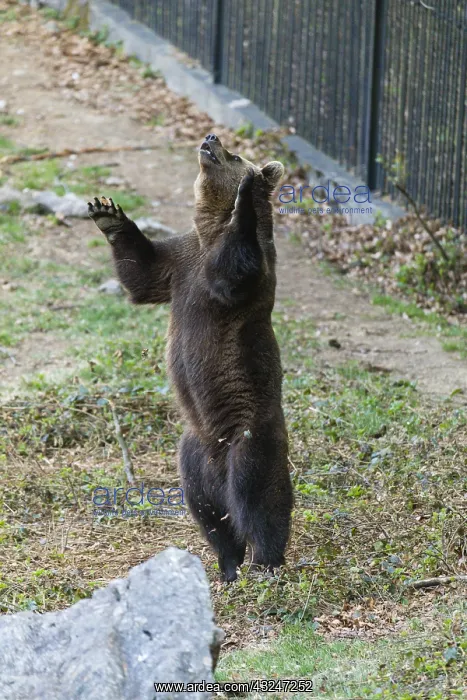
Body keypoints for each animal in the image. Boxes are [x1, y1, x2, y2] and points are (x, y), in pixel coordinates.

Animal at [88, 133, 293, 582]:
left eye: (236, 153)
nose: (211, 138)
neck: (208, 233)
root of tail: (218, 459)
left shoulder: (238, 275)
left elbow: (236, 270)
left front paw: (246, 197)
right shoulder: (180, 263)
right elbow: (141, 275)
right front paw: (108, 213)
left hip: (250, 434)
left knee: (259, 499)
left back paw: (265, 561)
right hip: (192, 455)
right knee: (210, 513)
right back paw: (228, 564)